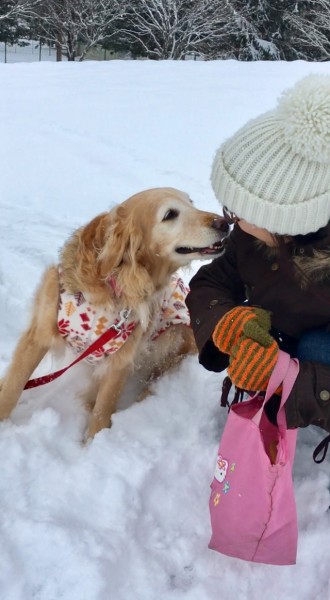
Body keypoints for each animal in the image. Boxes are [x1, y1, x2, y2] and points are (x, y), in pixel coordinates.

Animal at [0, 188, 228, 440]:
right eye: (170, 214)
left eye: (191, 203)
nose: (225, 222)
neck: (116, 282)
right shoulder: (38, 335)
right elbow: (12, 387)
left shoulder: (121, 358)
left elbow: (103, 409)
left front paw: (93, 443)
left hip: (174, 334)